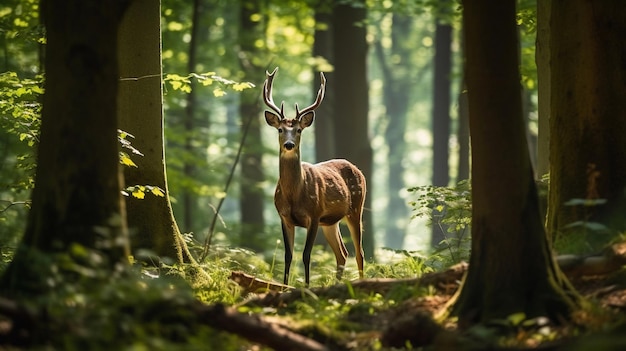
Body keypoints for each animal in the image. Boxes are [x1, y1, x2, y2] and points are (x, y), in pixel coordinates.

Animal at [260, 67, 366, 288]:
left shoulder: (315, 215)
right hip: (331, 222)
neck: (294, 196)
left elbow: (306, 255)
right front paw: (284, 287)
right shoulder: (284, 217)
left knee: (359, 252)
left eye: (299, 130)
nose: (289, 145)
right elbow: (288, 256)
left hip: (355, 207)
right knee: (342, 253)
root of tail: (357, 169)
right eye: (280, 129)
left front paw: (307, 288)